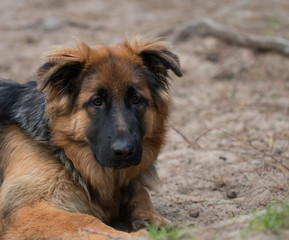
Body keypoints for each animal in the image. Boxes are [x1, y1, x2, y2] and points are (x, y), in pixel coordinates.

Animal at [0, 37, 180, 240]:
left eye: (136, 99)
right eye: (97, 101)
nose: (125, 151)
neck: (66, 153)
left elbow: (141, 192)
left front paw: (153, 218)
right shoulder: (23, 209)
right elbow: (85, 220)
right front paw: (138, 235)